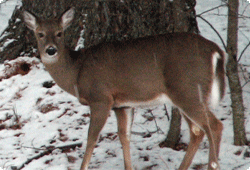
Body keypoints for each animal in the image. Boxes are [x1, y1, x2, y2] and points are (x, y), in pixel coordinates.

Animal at [23, 7, 227, 170]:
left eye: (59, 33)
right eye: (40, 33)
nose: (51, 50)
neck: (76, 71)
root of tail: (216, 51)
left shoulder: (101, 98)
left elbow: (91, 137)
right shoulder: (122, 105)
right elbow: (124, 136)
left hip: (188, 90)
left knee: (214, 126)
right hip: (184, 95)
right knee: (197, 131)